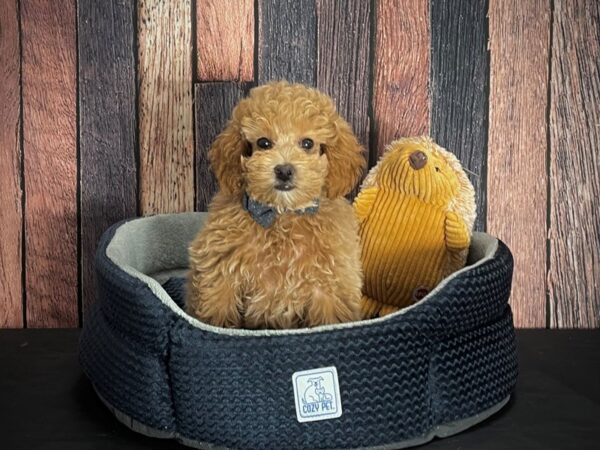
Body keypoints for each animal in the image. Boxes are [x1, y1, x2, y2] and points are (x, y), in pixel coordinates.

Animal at [188, 81, 364, 328]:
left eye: (307, 143)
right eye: (264, 143)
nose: (284, 170)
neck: (282, 214)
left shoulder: (330, 286)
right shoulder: (221, 274)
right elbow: (218, 311)